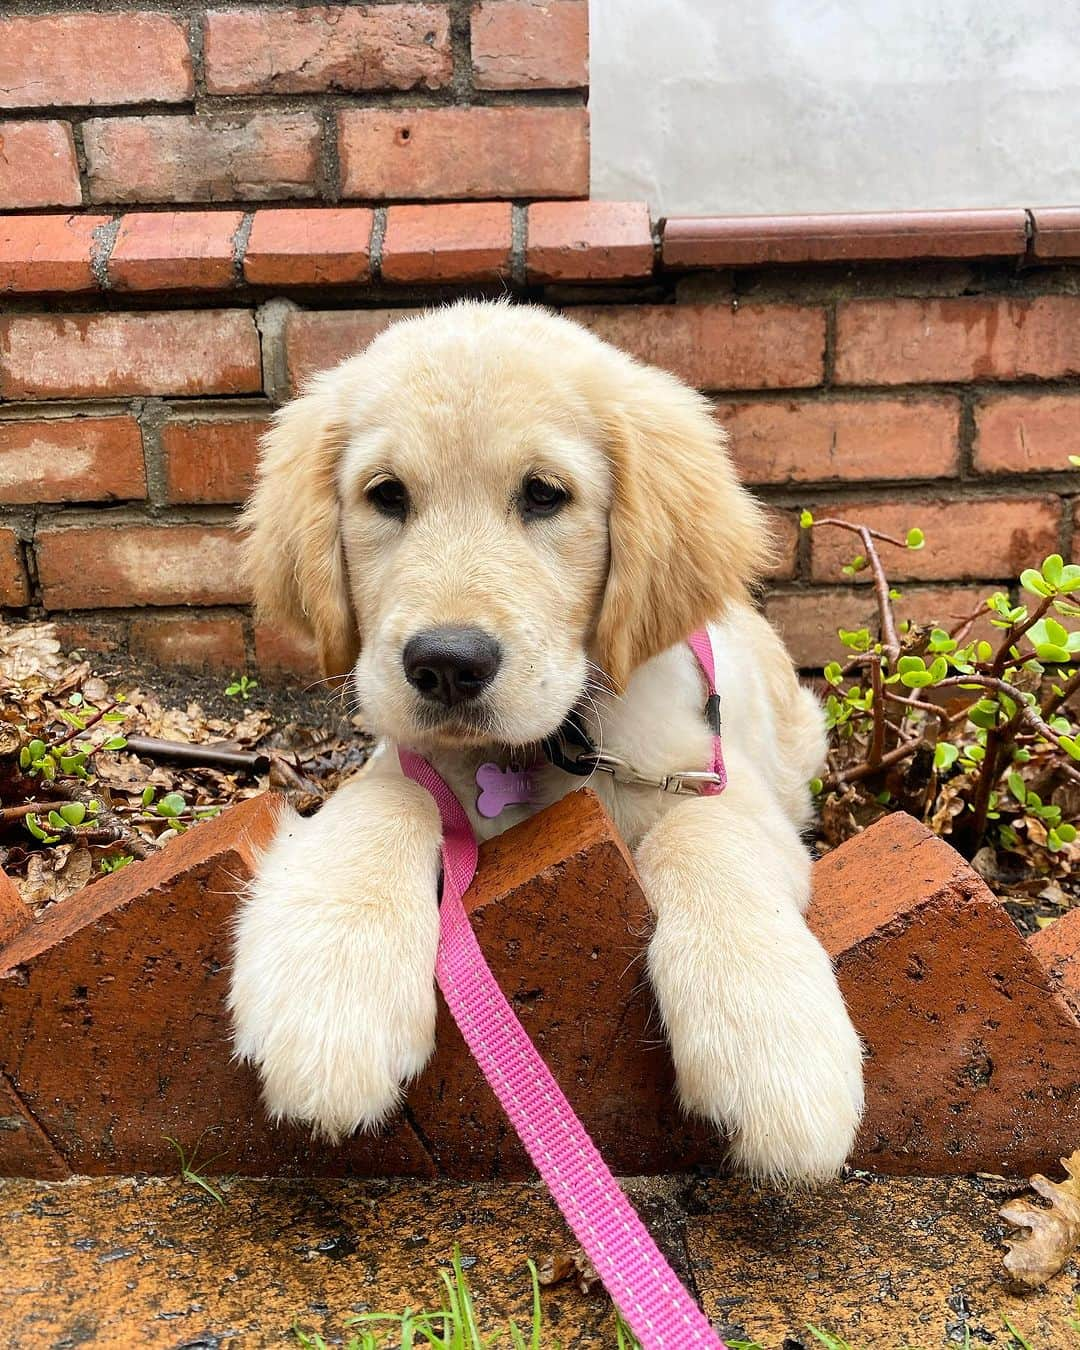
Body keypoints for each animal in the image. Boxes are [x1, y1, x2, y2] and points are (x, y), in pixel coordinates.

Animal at [232, 301, 864, 1188]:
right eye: (386, 495)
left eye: (544, 495)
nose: (446, 664)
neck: (542, 747)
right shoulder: (404, 756)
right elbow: (387, 796)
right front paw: (327, 992)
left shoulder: (711, 779)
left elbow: (706, 837)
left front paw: (772, 1040)